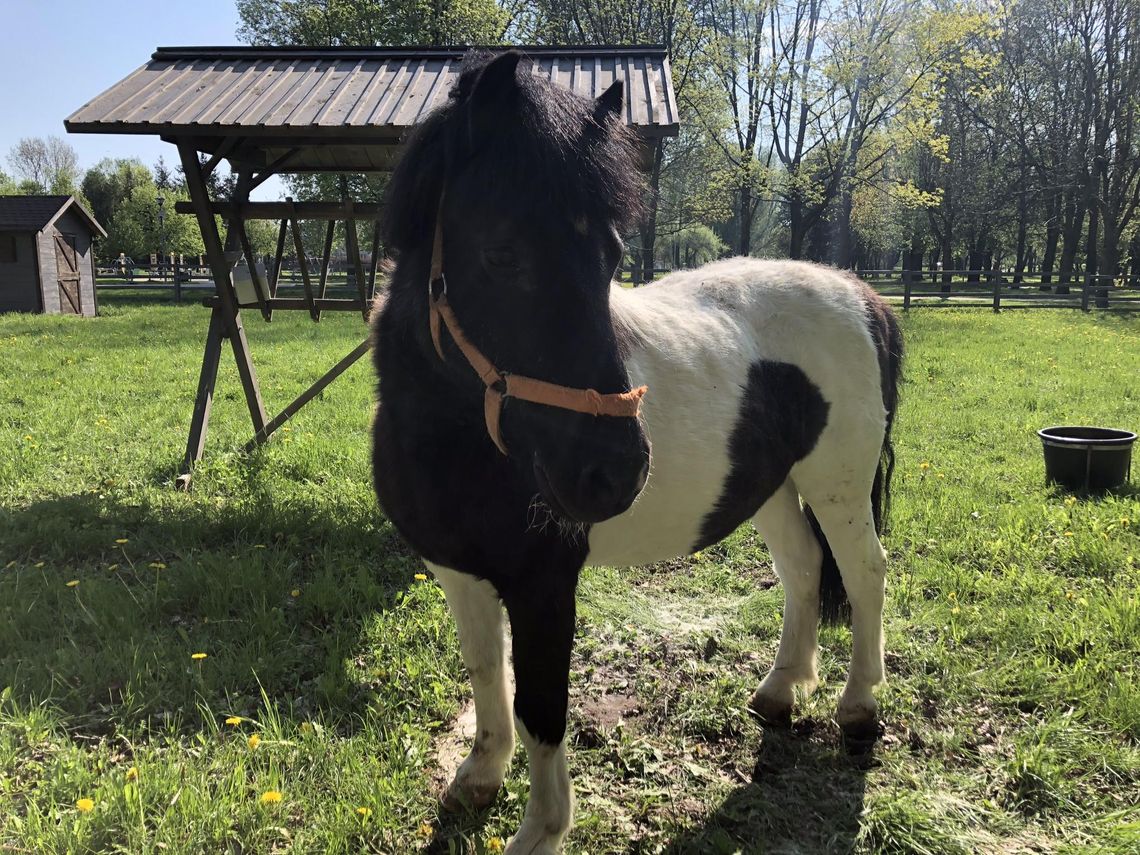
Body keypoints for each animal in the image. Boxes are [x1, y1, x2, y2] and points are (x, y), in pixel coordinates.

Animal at [369, 51, 902, 855]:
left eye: (612, 255)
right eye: (502, 253)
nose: (617, 471)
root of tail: (861, 296)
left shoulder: (544, 585)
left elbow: (541, 706)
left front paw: (540, 830)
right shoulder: (459, 571)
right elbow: (487, 673)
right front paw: (479, 778)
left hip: (836, 483)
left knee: (864, 571)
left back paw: (860, 708)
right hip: (771, 487)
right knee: (804, 567)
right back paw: (780, 691)